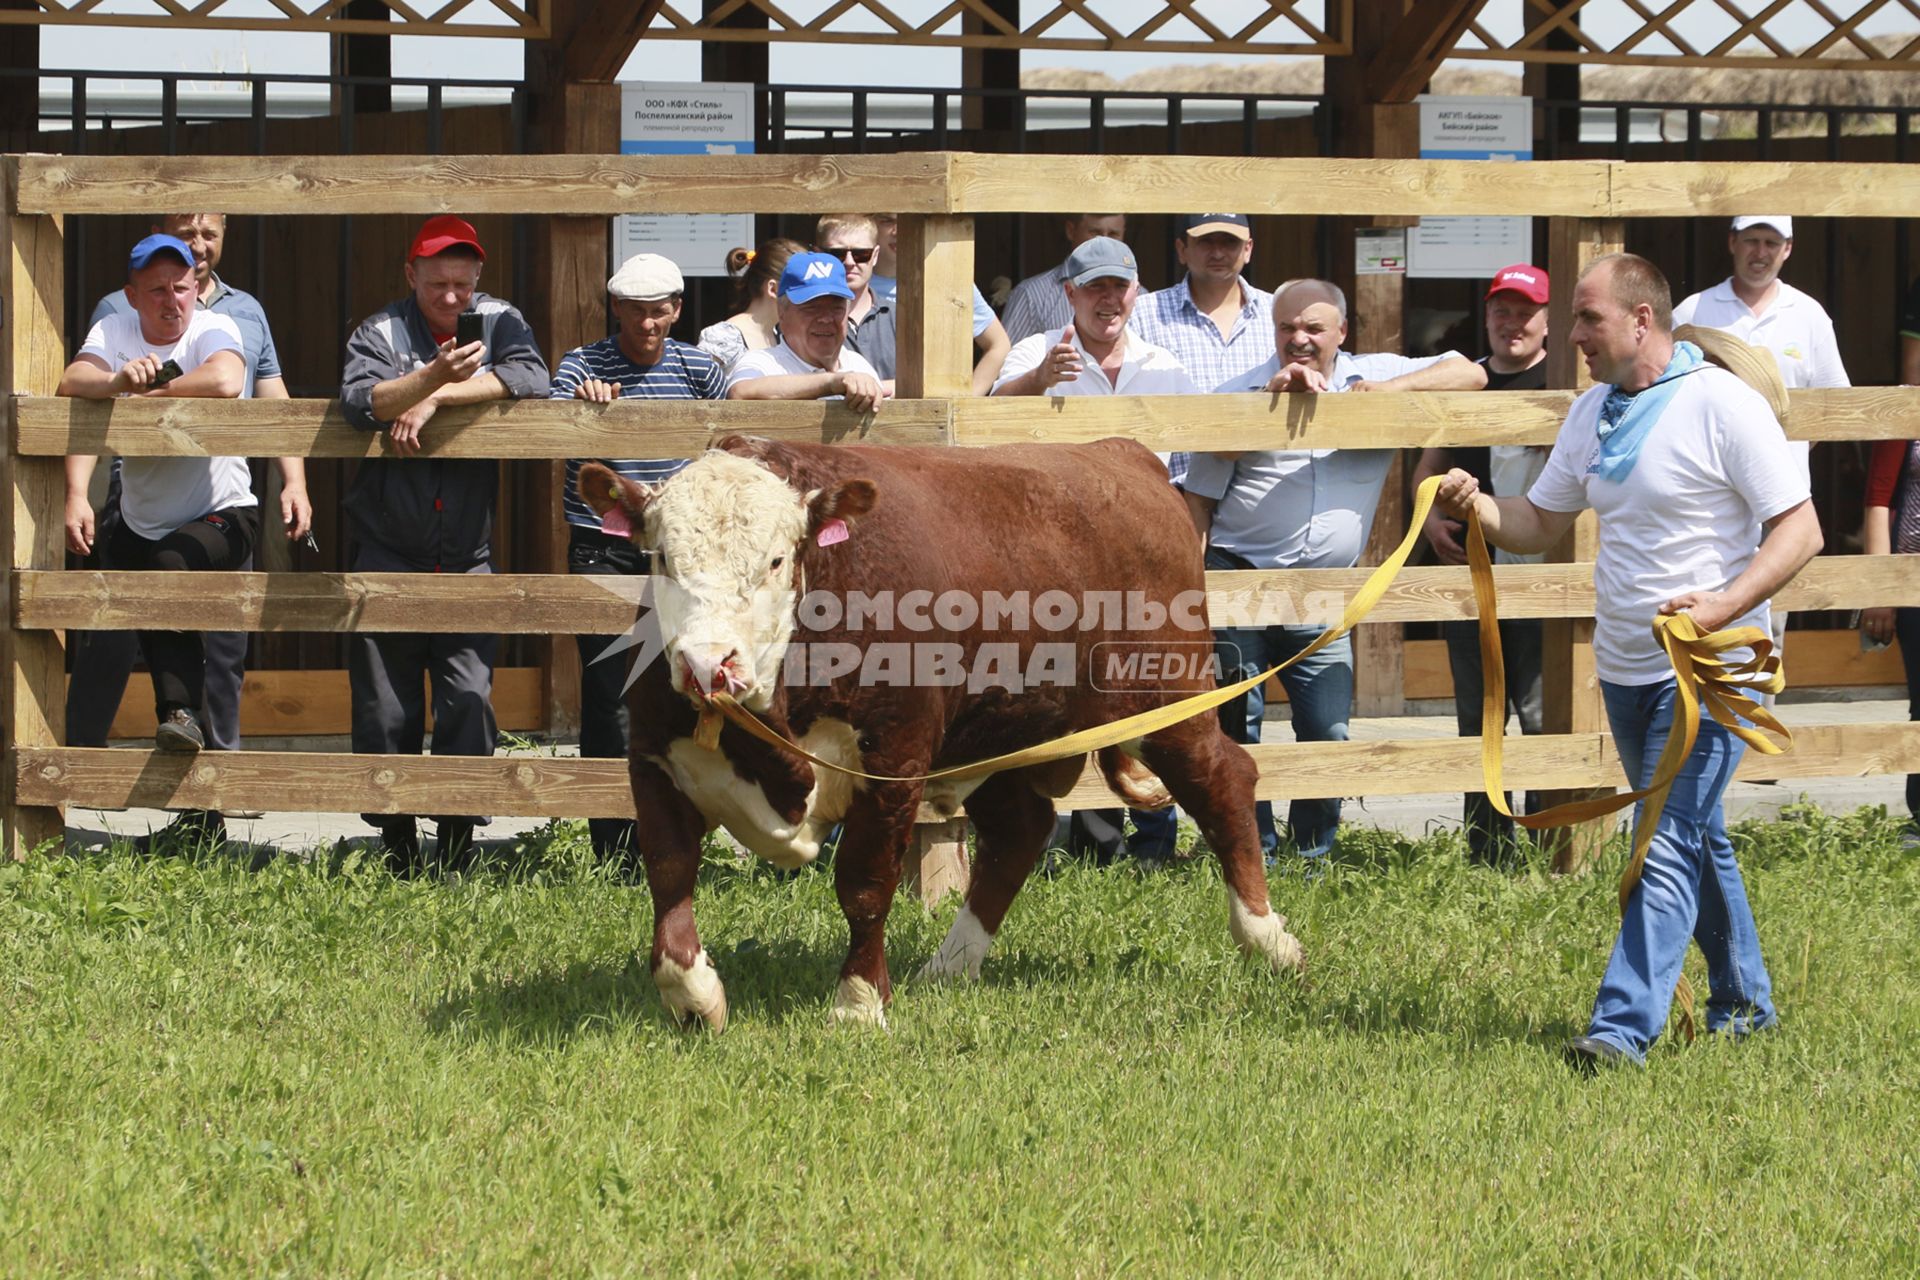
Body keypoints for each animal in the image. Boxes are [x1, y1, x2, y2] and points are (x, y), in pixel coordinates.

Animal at [572, 437, 1305, 1028]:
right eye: (661, 559)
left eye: (777, 561)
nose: (708, 664)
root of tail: (1123, 454)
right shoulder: (654, 760)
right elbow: (669, 868)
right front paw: (693, 997)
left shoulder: (894, 761)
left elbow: (865, 883)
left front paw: (859, 1003)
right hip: (998, 734)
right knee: (1019, 834)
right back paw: (951, 964)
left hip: (1167, 700)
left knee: (1224, 782)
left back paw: (1268, 940)